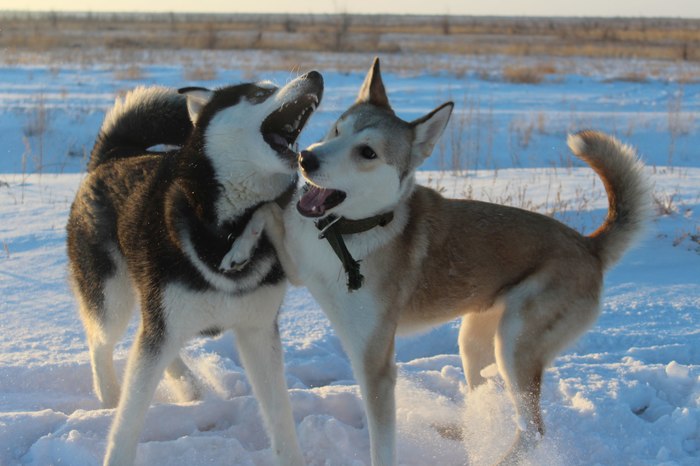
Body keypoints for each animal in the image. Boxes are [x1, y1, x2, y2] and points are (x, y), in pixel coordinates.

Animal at [231, 60, 652, 464]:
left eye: (367, 152)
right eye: (337, 129)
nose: (306, 158)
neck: (347, 233)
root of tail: (588, 245)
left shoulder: (374, 363)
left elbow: (382, 447)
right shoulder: (300, 265)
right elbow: (266, 210)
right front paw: (239, 246)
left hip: (515, 343)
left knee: (533, 429)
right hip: (475, 341)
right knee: (486, 394)